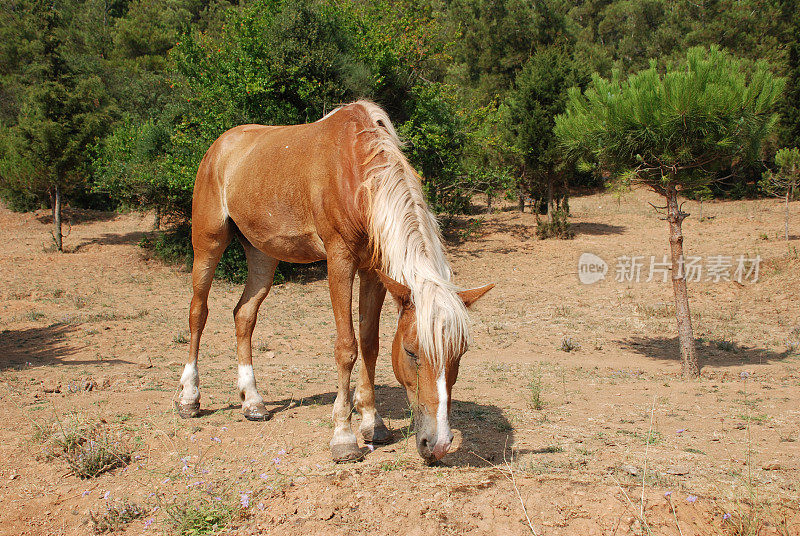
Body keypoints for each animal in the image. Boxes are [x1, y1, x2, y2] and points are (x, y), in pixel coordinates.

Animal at [177, 101, 494, 464]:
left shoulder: (374, 271)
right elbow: (347, 347)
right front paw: (343, 436)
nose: (438, 443)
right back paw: (189, 398)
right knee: (198, 313)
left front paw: (372, 422)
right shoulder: (339, 260)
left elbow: (369, 344)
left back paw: (253, 402)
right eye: (411, 351)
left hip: (261, 254)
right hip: (208, 243)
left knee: (244, 315)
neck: (357, 173)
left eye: (460, 352)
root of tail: (220, 146)